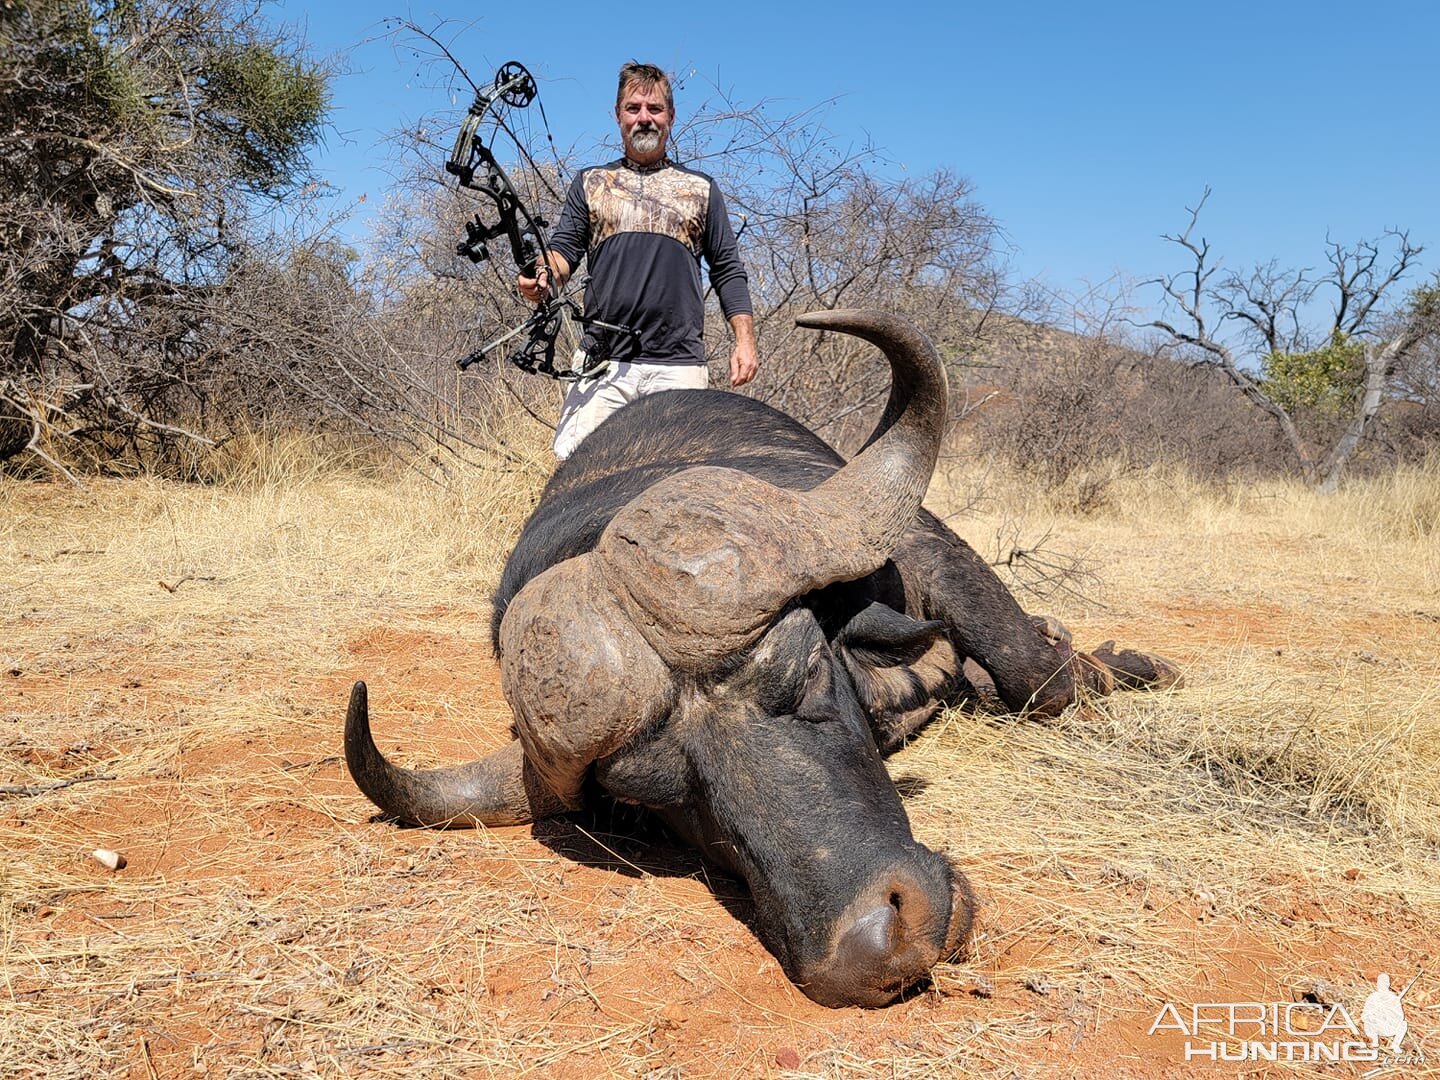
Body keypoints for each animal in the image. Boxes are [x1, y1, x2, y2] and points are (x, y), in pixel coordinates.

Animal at [342, 308, 1175, 1013]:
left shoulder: (926, 545)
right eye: (652, 803)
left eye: (804, 676)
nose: (877, 949)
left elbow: (1039, 677)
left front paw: (1119, 662)